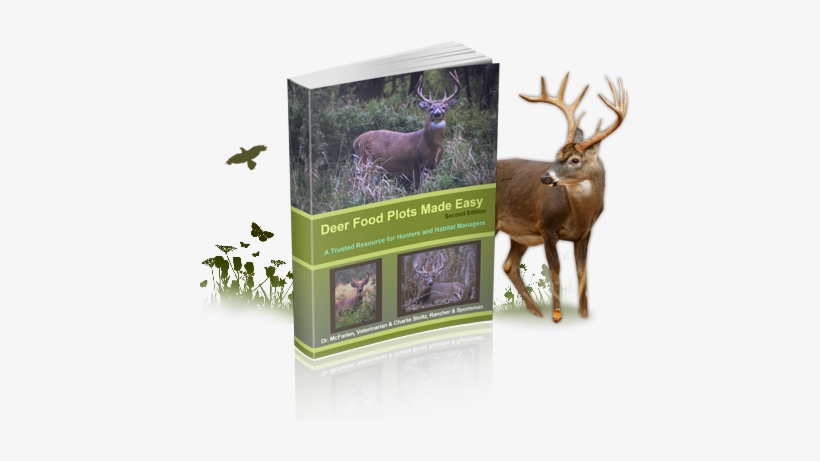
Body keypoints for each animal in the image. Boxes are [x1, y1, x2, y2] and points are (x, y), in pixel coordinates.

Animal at [495, 73, 627, 323]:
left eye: (574, 160)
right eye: (556, 155)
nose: (545, 177)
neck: (577, 215)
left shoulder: (585, 233)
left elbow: (582, 272)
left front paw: (583, 315)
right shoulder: (546, 226)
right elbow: (555, 271)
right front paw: (557, 316)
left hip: (519, 234)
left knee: (509, 265)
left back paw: (535, 310)